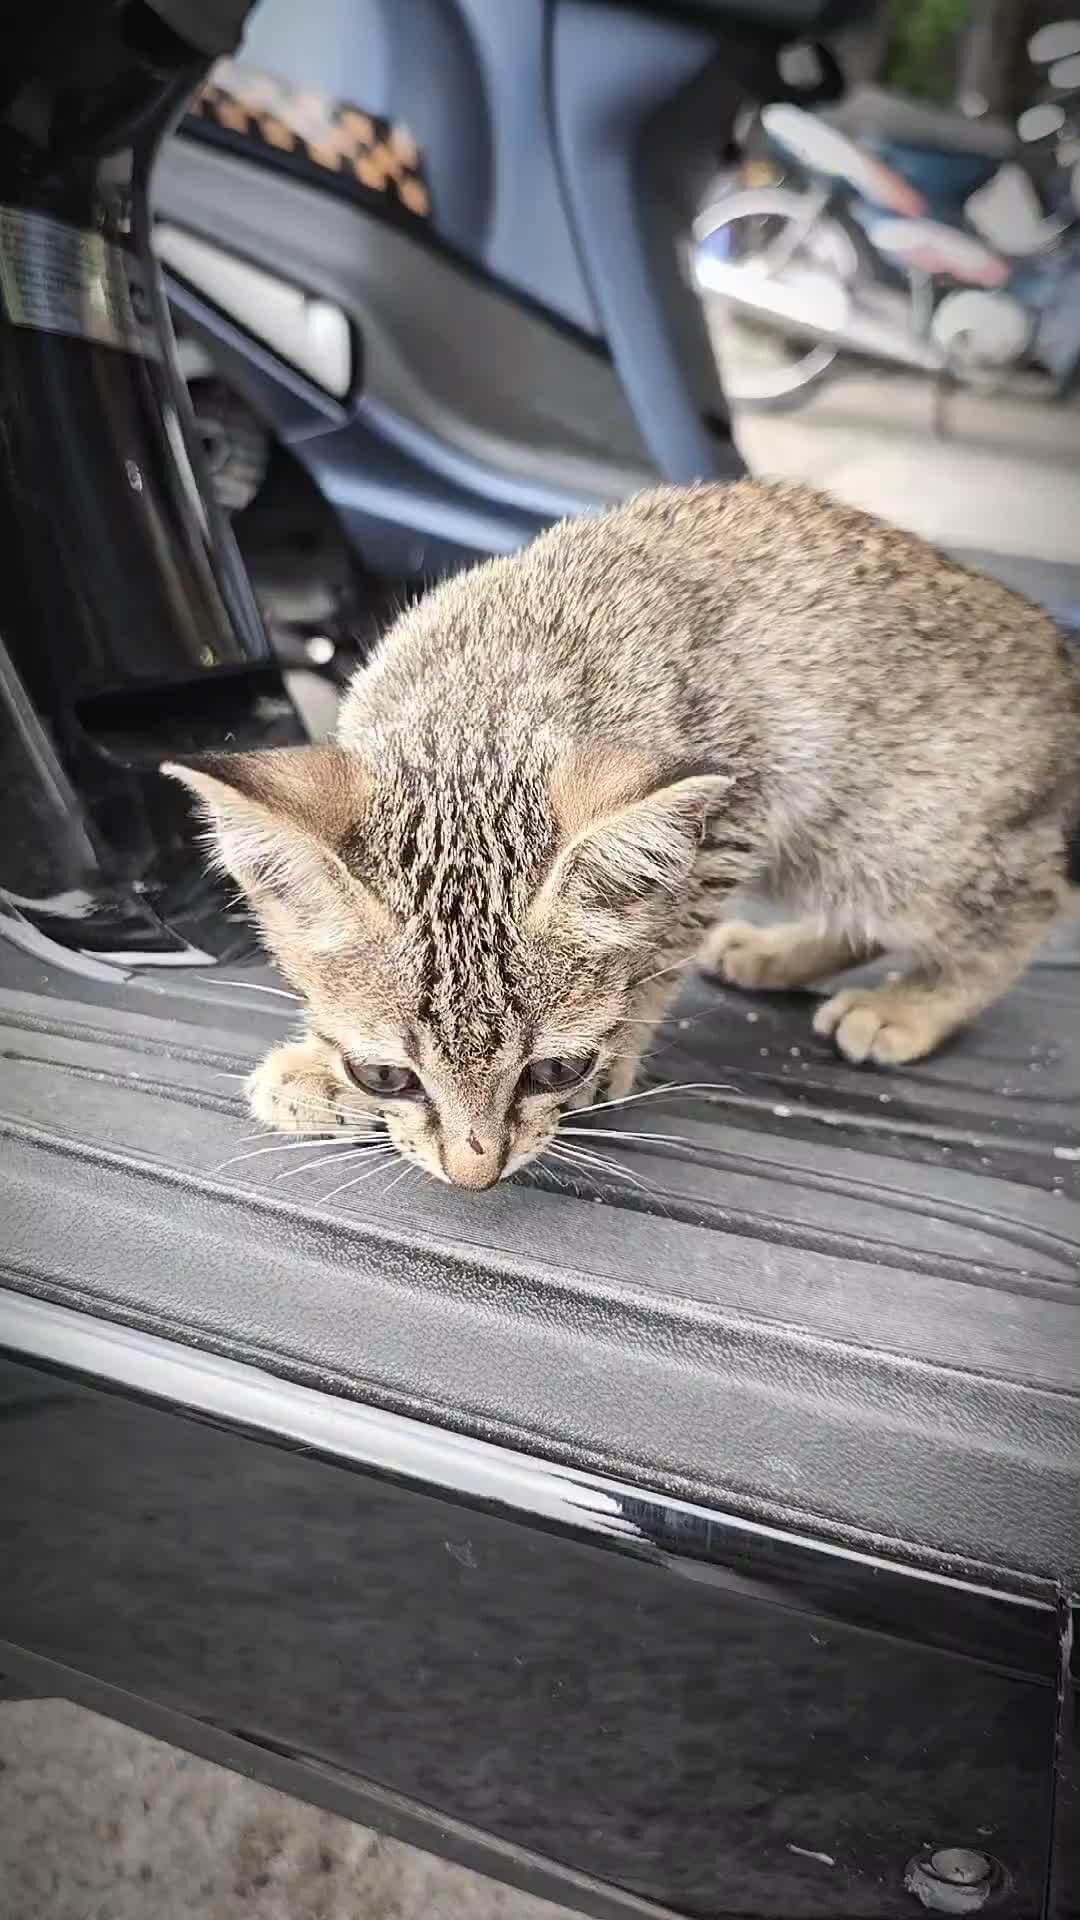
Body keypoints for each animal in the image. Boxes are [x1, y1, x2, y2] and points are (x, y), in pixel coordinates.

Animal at [166, 480, 1076, 1190]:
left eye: (553, 1068)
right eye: (385, 1073)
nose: (475, 1174)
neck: (484, 702)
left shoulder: (734, 811)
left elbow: (657, 952)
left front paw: (611, 1062)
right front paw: (319, 1072)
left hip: (895, 835)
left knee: (1018, 906)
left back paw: (912, 1005)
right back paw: (779, 954)